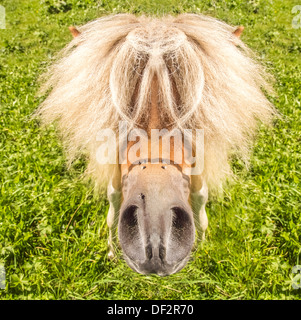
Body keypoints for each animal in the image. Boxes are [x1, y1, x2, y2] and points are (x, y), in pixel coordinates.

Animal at [37, 13, 274, 276]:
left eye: (190, 110)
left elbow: (200, 200)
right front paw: (111, 251)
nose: (154, 231)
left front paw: (202, 249)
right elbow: (113, 201)